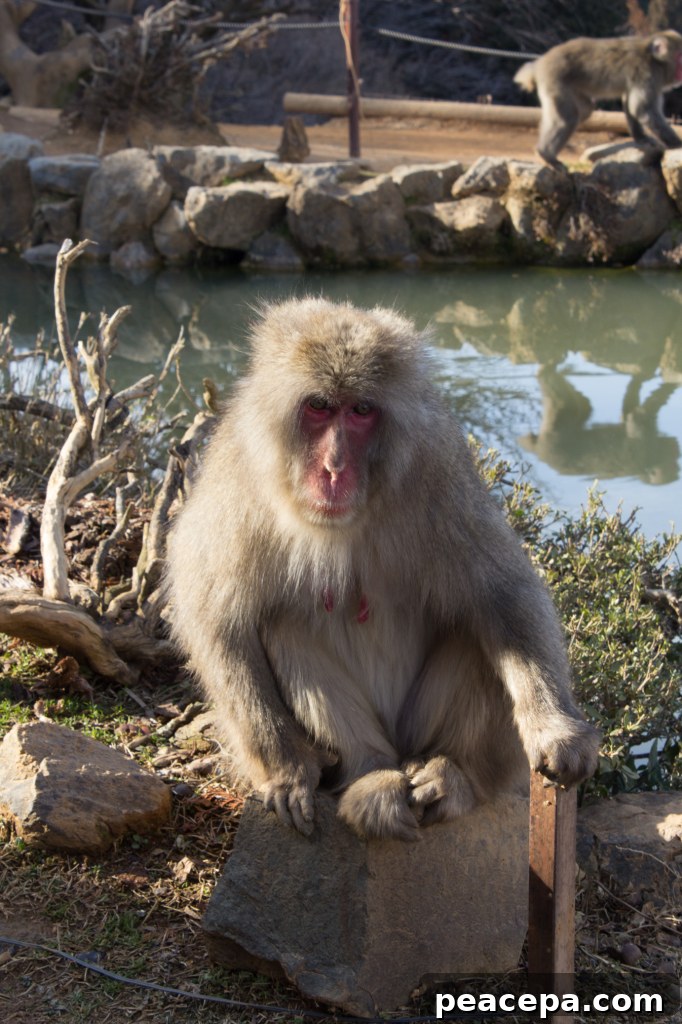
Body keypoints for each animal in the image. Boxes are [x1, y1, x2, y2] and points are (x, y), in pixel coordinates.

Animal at [166, 298, 600, 842]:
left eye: (362, 411)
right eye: (319, 406)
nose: (334, 468)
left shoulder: (439, 468)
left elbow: (503, 593)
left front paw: (557, 729)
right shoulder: (237, 475)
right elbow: (216, 614)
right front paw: (287, 770)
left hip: (419, 730)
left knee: (477, 628)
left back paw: (454, 776)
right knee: (282, 624)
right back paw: (371, 776)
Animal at [514, 31, 682, 169]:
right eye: (679, 57)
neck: (654, 59)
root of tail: (539, 63)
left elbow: (630, 103)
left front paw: (640, 138)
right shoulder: (648, 74)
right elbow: (641, 108)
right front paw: (676, 144)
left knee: (585, 110)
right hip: (555, 80)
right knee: (567, 119)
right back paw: (545, 154)